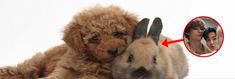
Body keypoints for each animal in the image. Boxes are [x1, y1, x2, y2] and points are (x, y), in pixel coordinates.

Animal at [0, 5, 138, 78]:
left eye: (117, 34)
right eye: (95, 39)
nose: (114, 50)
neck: (92, 60)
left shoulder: (100, 75)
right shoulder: (65, 67)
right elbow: (57, 75)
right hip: (37, 62)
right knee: (22, 69)